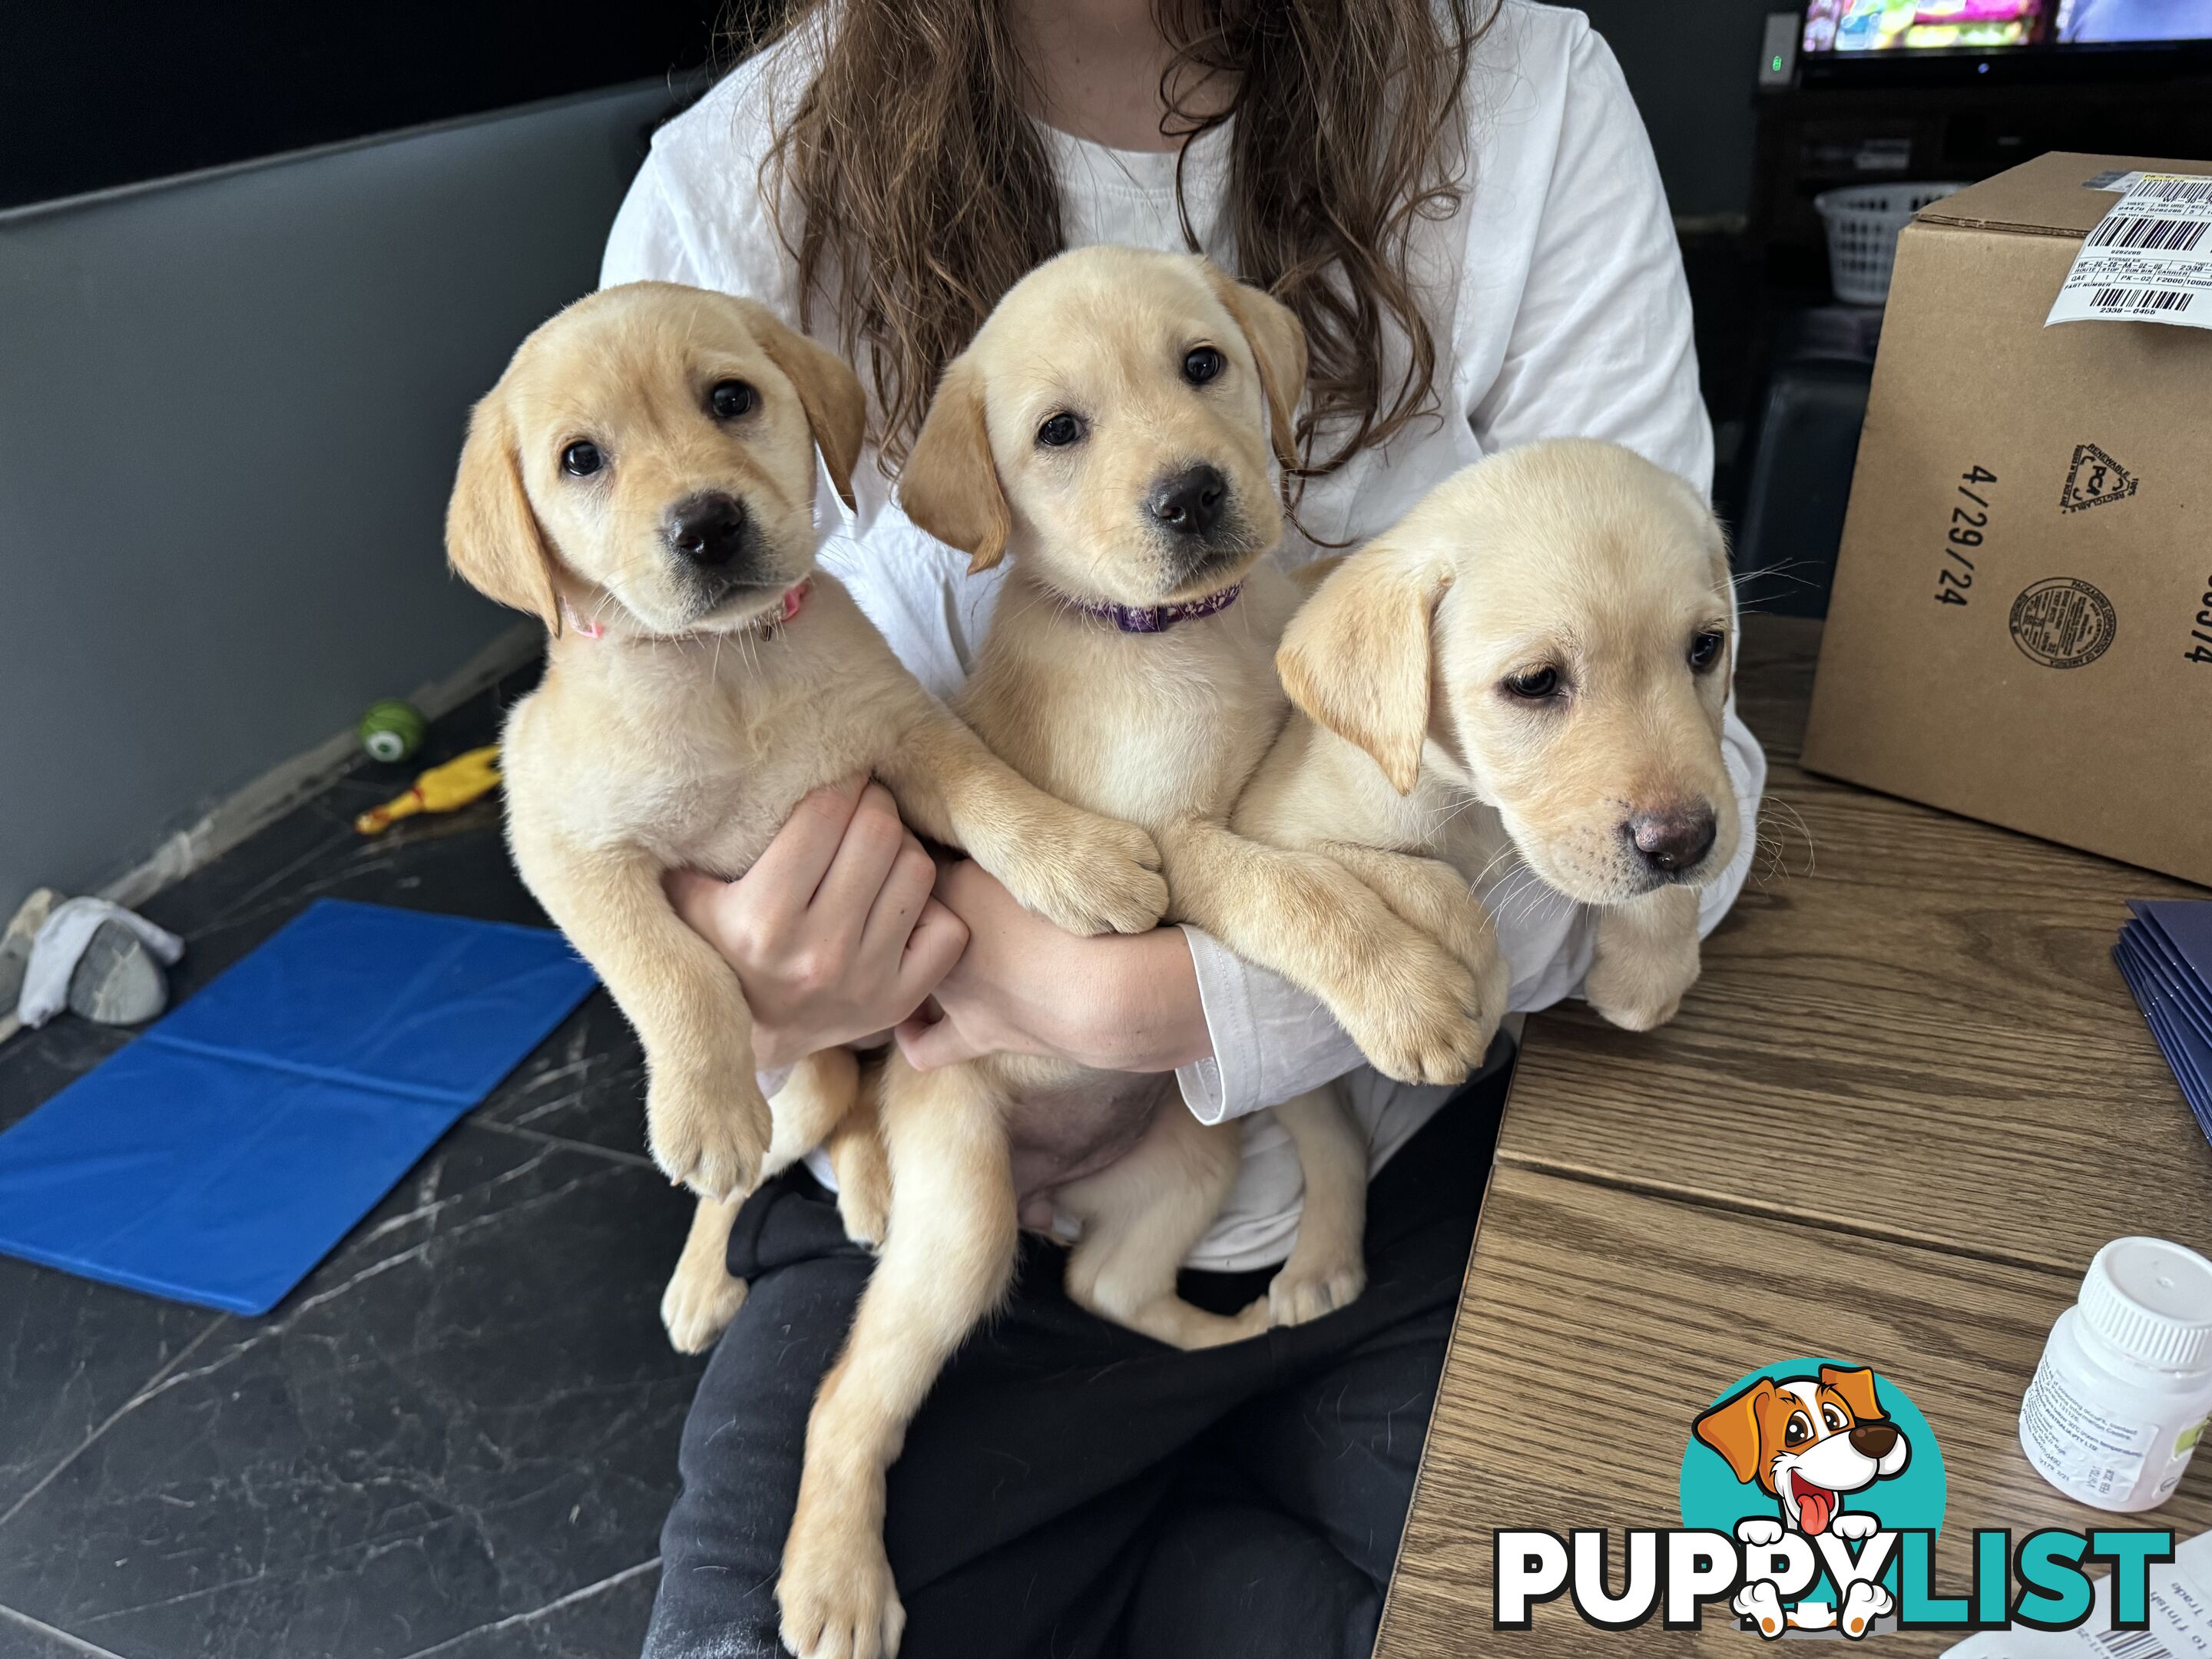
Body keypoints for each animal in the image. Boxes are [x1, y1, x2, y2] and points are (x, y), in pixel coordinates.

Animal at [446, 283, 1177, 1353]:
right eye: (580, 459)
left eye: (730, 398)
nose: (705, 525)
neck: (727, 665)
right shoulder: (561, 843)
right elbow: (669, 967)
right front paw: (704, 1111)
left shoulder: (907, 738)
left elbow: (993, 795)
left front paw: (1080, 862)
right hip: (797, 1070)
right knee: (774, 1147)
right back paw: (707, 1269)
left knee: (857, 1100)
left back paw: (872, 1194)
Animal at [770, 247, 1495, 1659]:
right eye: (1060, 433)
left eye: (1202, 365)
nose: (1192, 493)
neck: (1186, 634)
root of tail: (1053, 1195)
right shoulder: (1179, 852)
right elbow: (1297, 895)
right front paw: (1412, 988)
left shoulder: (1286, 789)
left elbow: (1359, 865)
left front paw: (1446, 922)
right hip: (965, 1216)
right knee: (844, 1395)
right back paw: (834, 1583)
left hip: (1184, 1156)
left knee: (1111, 1288)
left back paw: (1232, 1330)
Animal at [1247, 442, 1743, 1039]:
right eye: (1535, 682)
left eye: (1707, 647)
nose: (1684, 844)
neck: (1479, 805)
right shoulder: (1272, 827)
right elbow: (1413, 876)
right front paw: (1471, 989)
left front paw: (1650, 971)